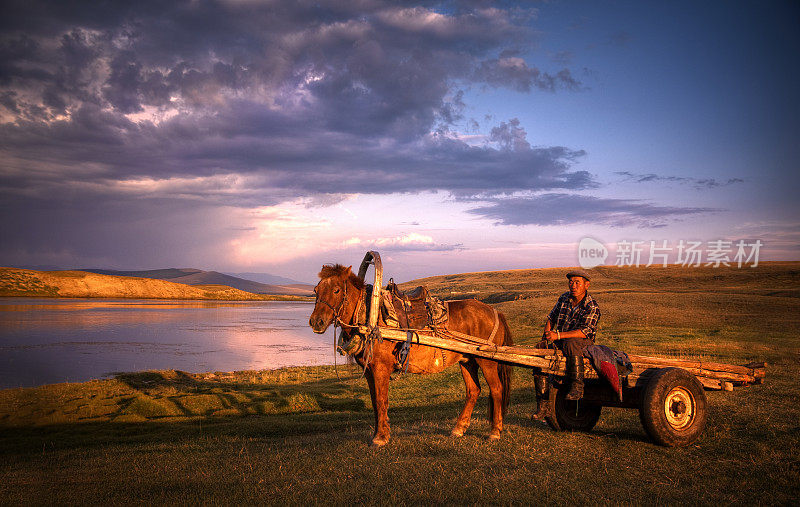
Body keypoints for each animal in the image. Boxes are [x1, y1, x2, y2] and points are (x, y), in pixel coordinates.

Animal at [308, 264, 512, 446]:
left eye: (336, 290)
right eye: (316, 290)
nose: (316, 322)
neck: (370, 318)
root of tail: (494, 311)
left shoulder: (381, 368)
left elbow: (382, 400)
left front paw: (380, 437)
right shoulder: (369, 371)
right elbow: (374, 401)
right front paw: (379, 433)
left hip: (486, 361)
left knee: (496, 389)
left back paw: (495, 432)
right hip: (467, 360)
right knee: (473, 390)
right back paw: (459, 429)